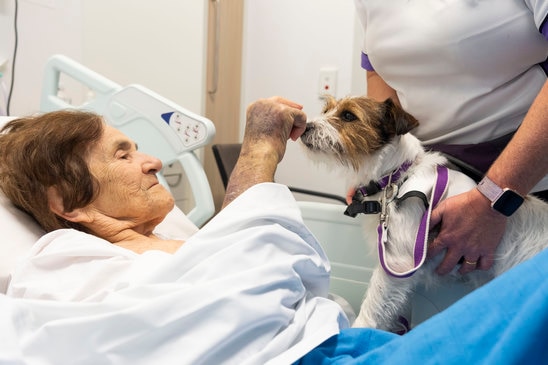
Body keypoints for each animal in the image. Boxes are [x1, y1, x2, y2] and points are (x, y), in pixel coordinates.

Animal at [300, 95, 548, 332]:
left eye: (348, 116)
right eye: (326, 110)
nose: (305, 127)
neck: (397, 177)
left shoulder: (397, 264)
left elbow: (373, 307)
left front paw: (358, 333)